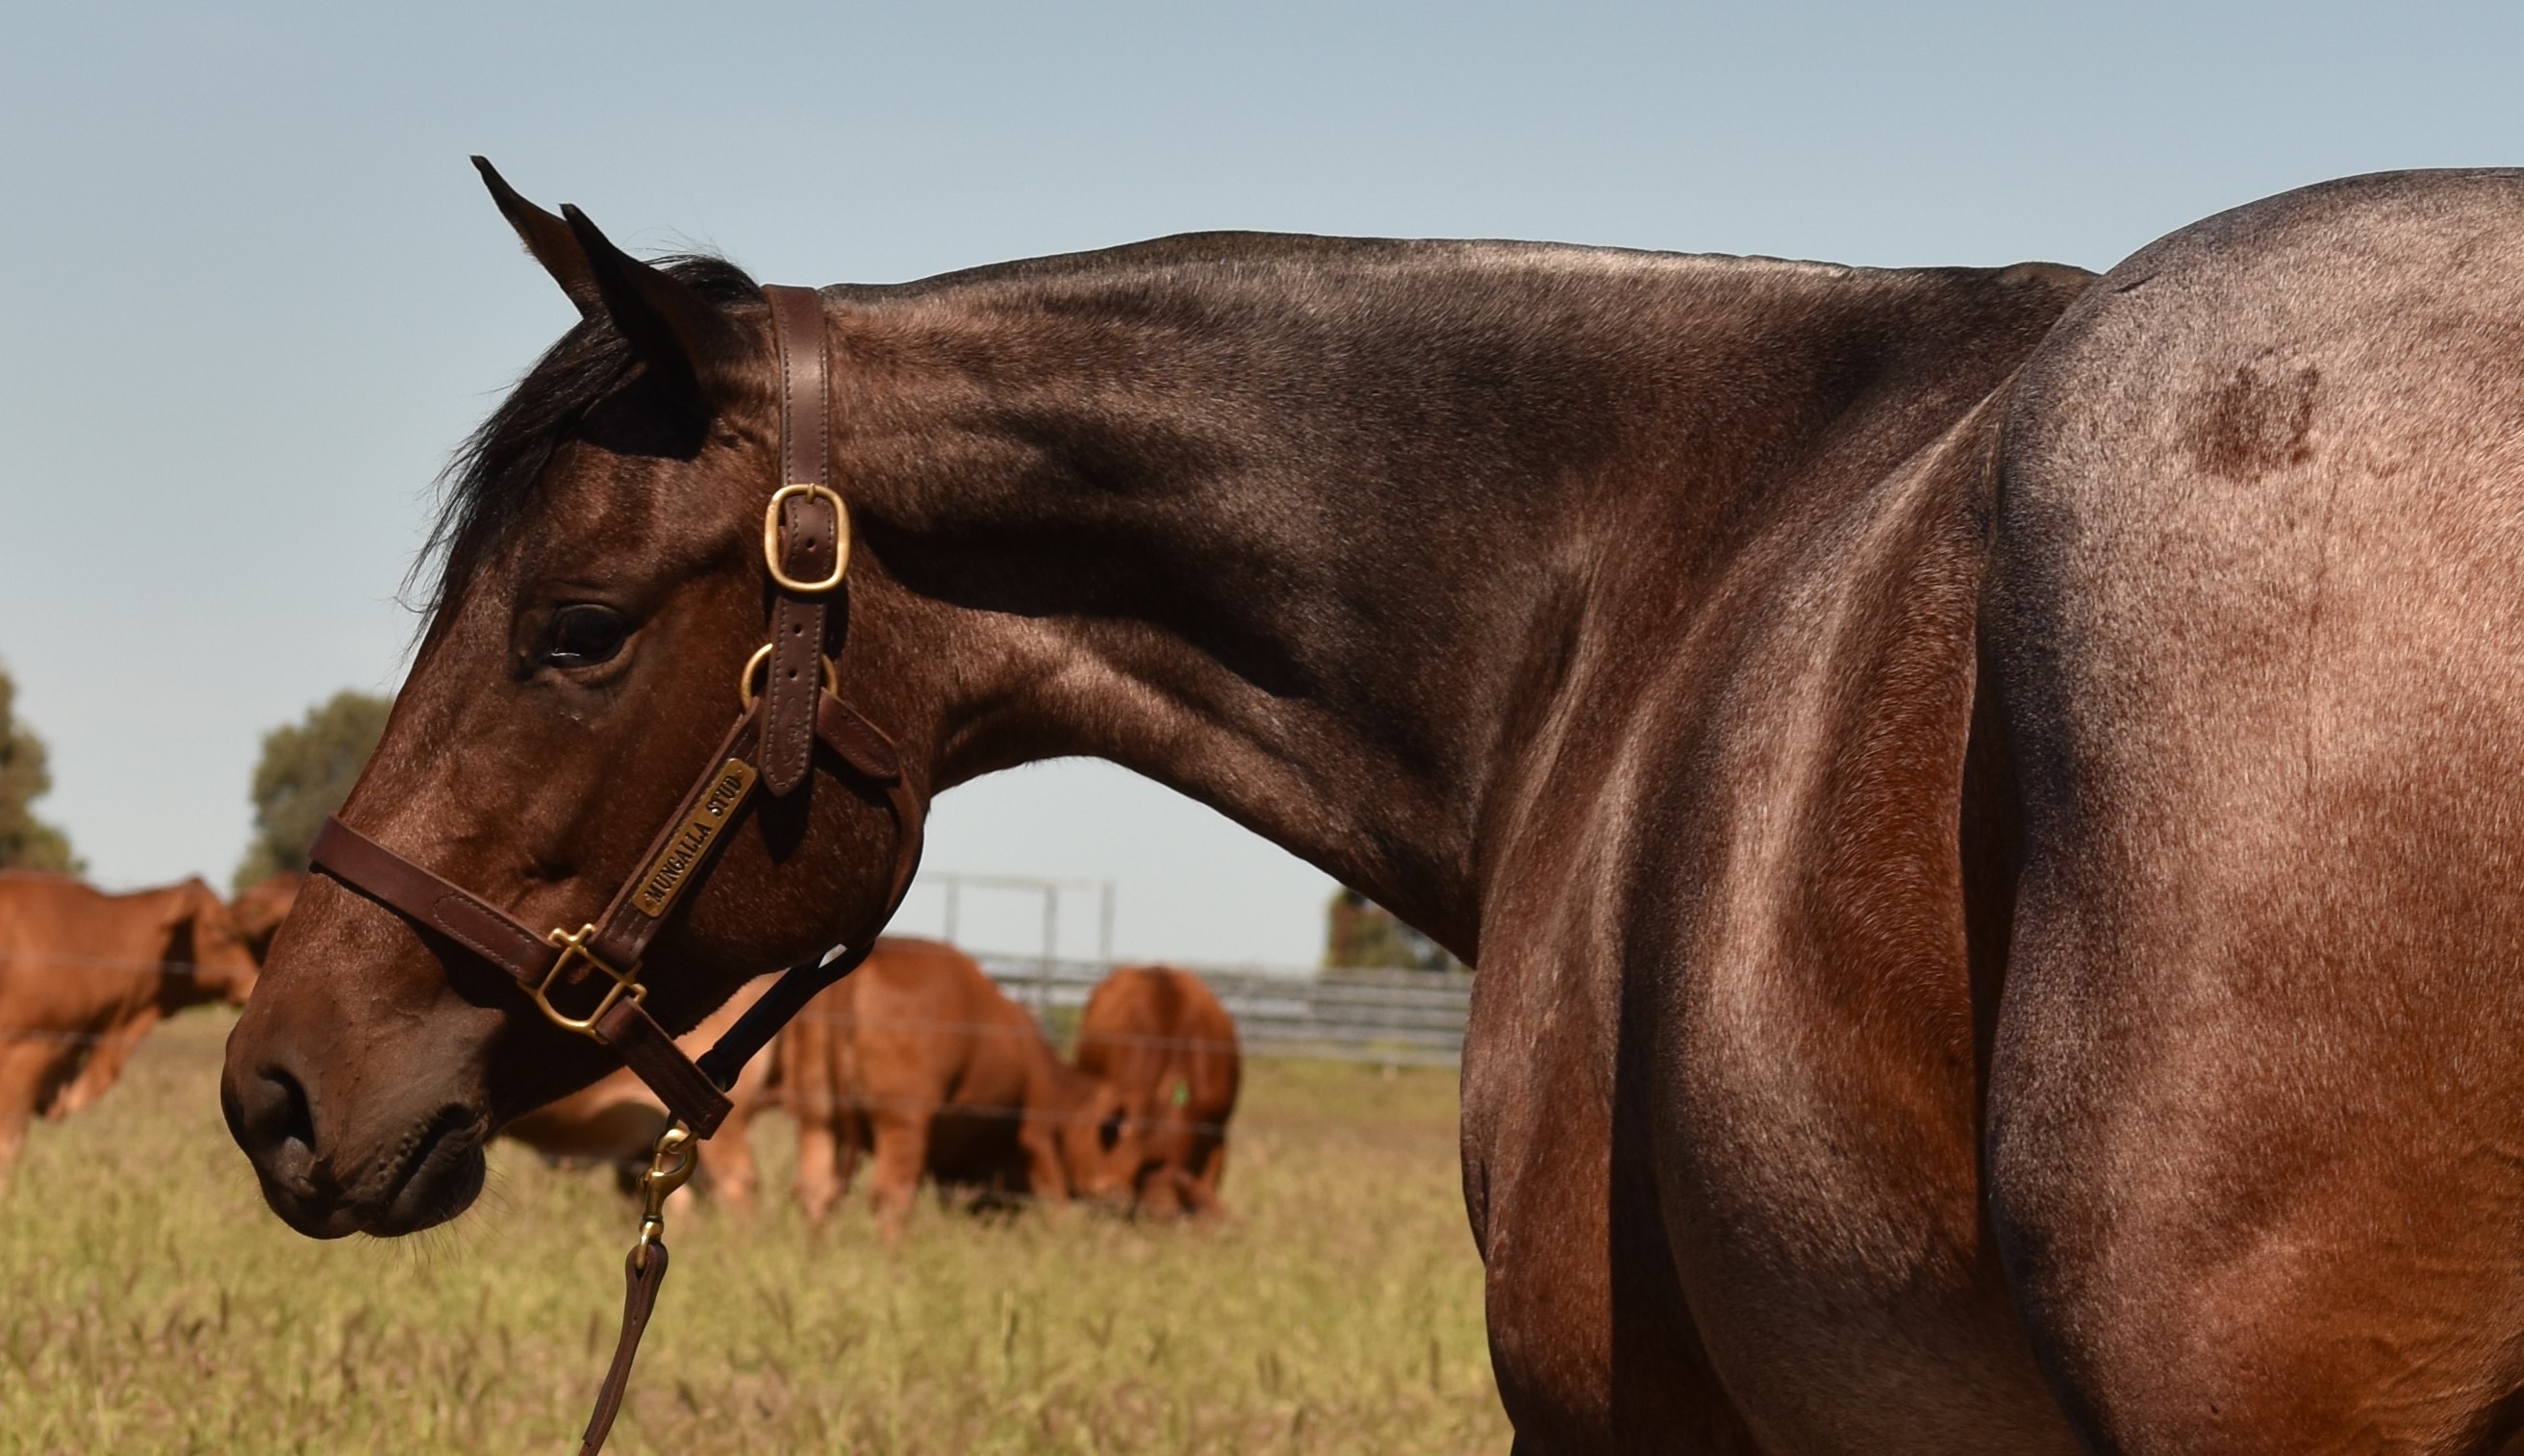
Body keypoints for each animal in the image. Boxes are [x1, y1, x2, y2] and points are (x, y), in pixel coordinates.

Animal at [778, 937, 1137, 1237]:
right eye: (1114, 1140)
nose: (1123, 1196)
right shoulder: (1035, 1139)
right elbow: (1054, 1200)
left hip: (817, 1116)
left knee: (816, 1190)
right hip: (902, 1122)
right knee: (891, 1199)